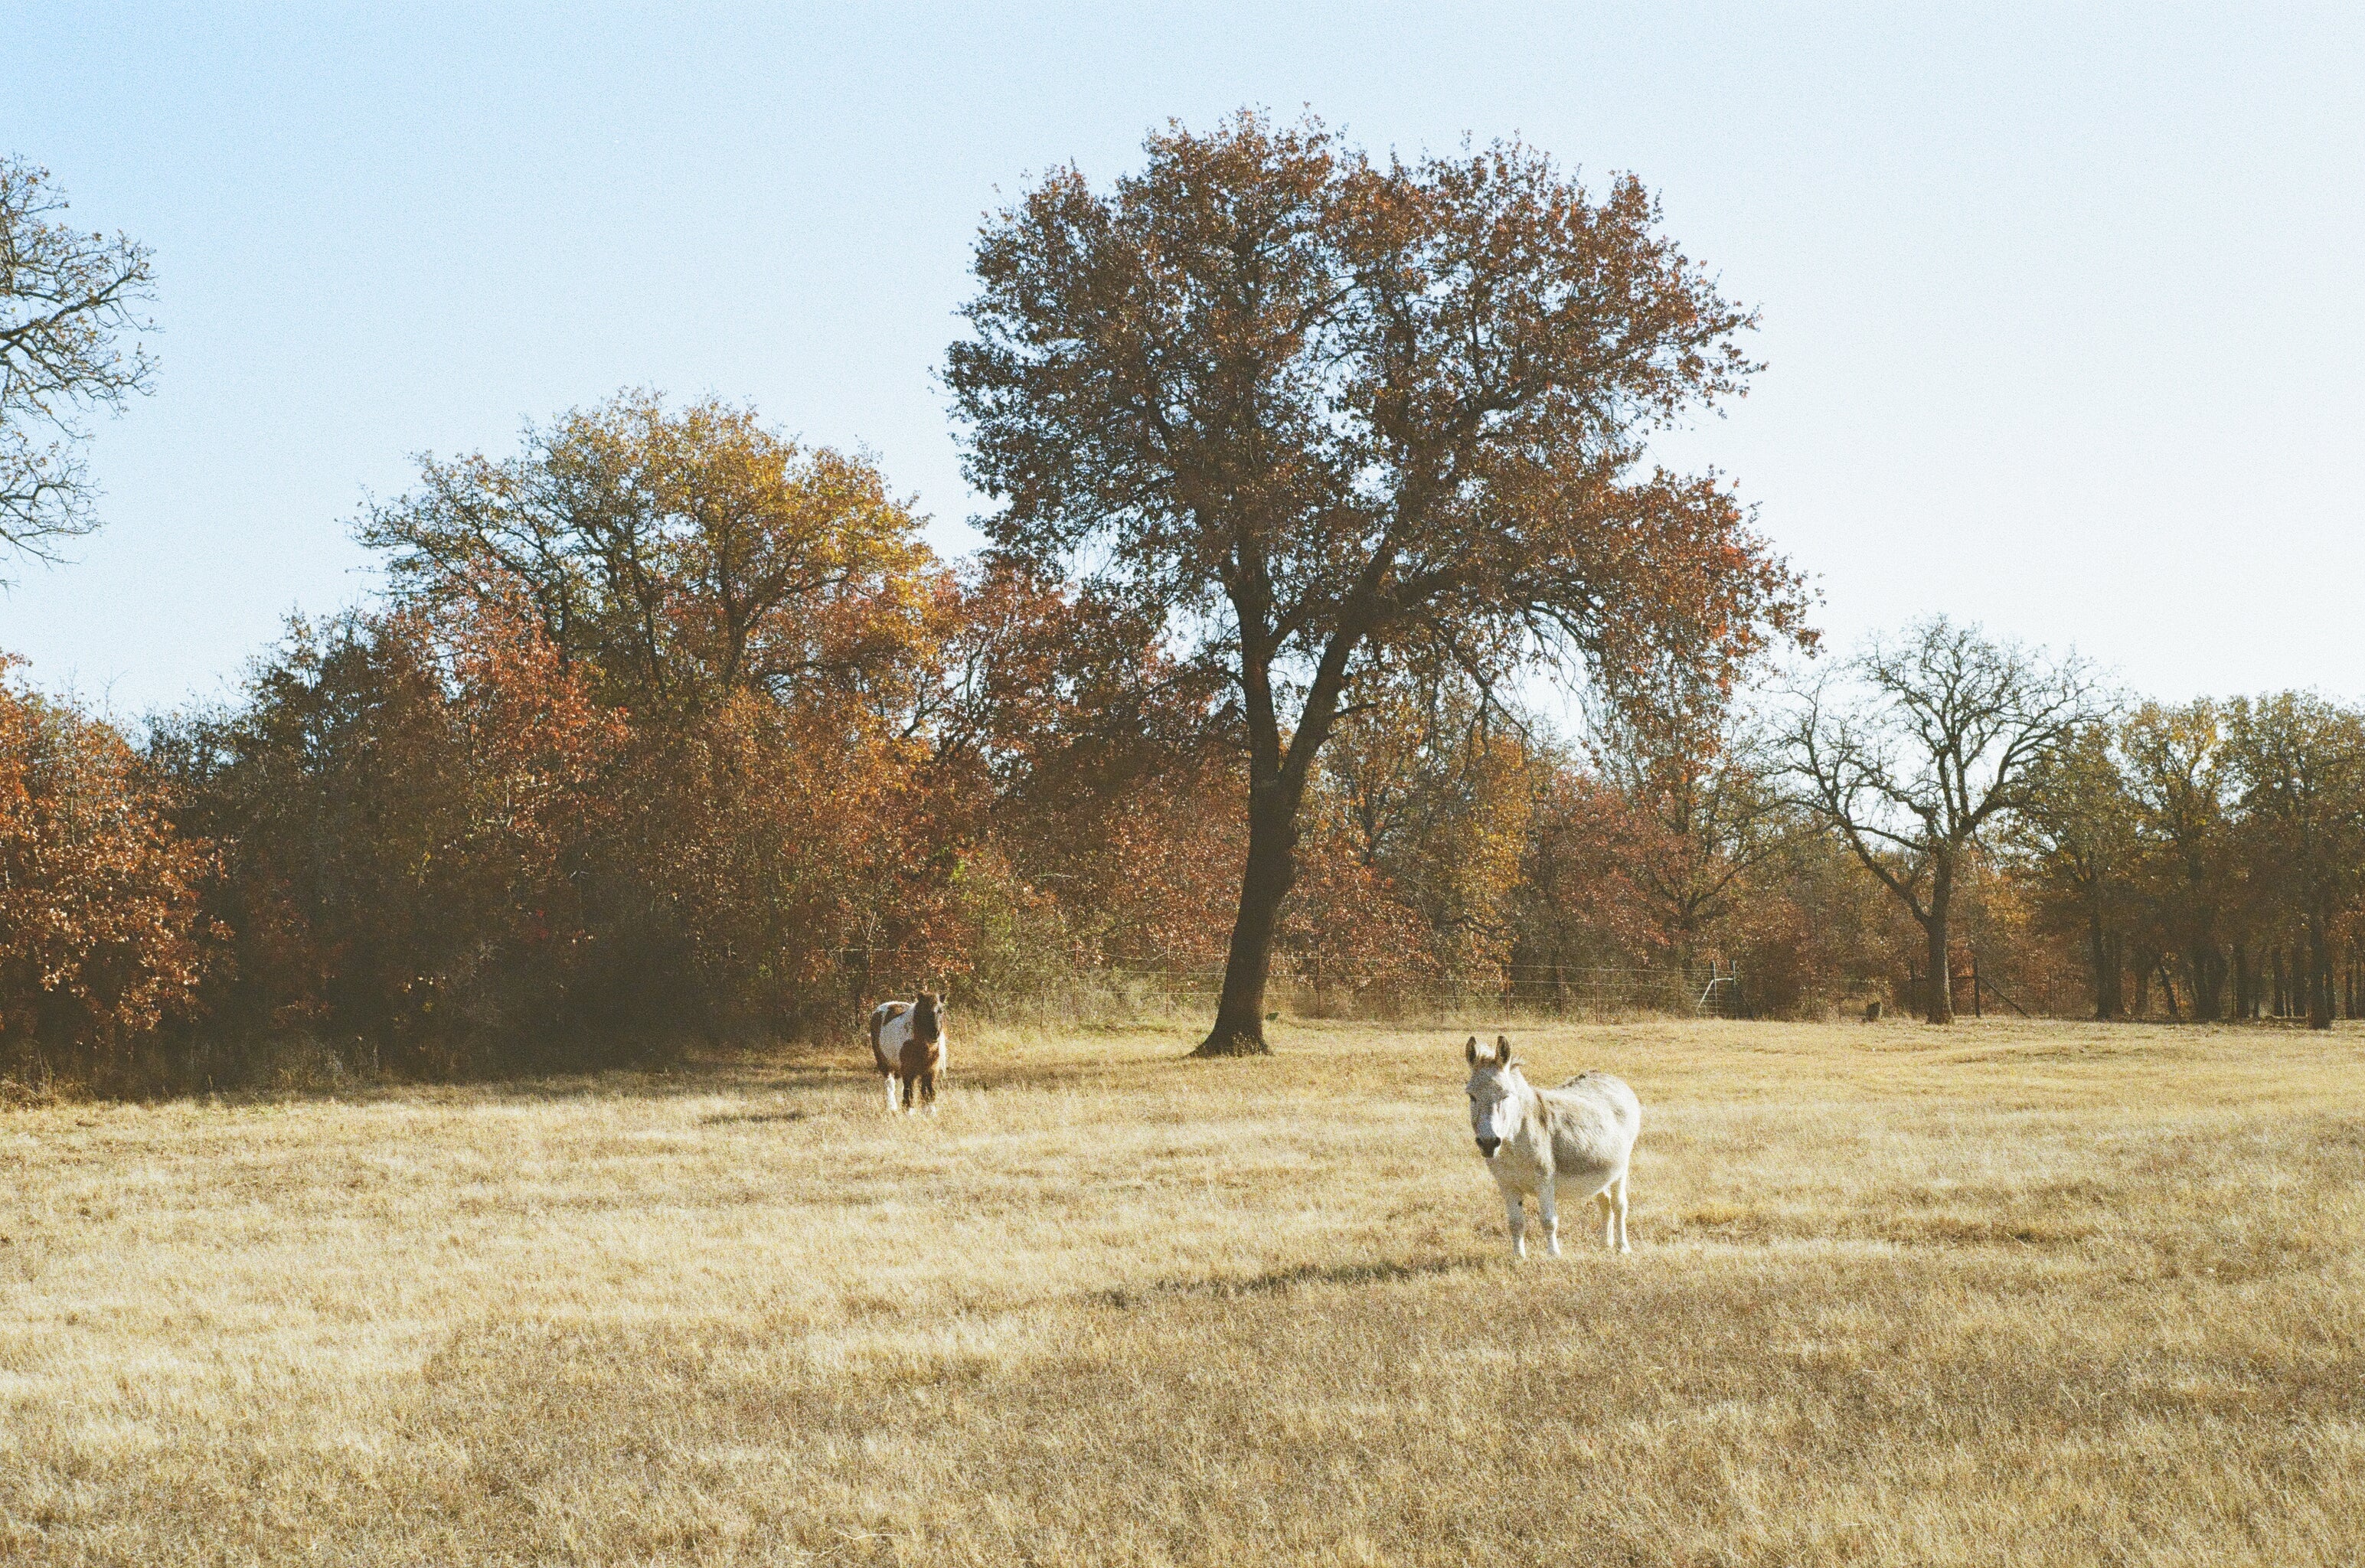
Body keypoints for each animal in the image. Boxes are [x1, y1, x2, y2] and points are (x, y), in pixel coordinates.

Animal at [868, 990, 948, 1114]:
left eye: (941, 1011)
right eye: (924, 1010)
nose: (935, 1034)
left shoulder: (931, 1070)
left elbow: (928, 1089)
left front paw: (929, 1111)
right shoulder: (908, 1070)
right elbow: (909, 1089)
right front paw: (909, 1111)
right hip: (885, 1064)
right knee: (890, 1084)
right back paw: (892, 1107)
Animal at [1463, 1033, 1640, 1257]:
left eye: (1506, 1095)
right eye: (1471, 1096)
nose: (1488, 1143)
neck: (1513, 1145)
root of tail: (1611, 1078)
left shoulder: (1545, 1179)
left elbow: (1548, 1221)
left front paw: (1553, 1255)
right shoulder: (1506, 1184)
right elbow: (1515, 1223)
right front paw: (1518, 1257)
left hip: (1621, 1168)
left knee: (1619, 1205)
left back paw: (1622, 1247)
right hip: (1601, 1170)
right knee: (1604, 1203)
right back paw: (1604, 1244)